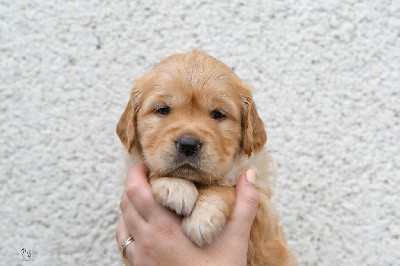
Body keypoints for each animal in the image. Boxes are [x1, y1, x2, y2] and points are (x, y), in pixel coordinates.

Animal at [115, 50, 294, 266]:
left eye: (218, 114)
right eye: (163, 110)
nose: (188, 144)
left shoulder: (260, 201)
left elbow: (226, 187)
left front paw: (203, 217)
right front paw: (175, 185)